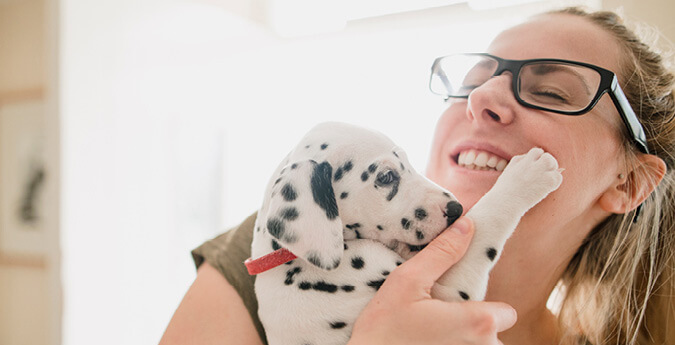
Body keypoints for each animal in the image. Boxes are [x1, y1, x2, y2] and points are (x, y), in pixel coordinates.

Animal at [246, 121, 564, 344]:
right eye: (387, 176)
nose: (456, 208)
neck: (287, 259)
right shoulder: (450, 299)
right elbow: (486, 222)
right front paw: (526, 176)